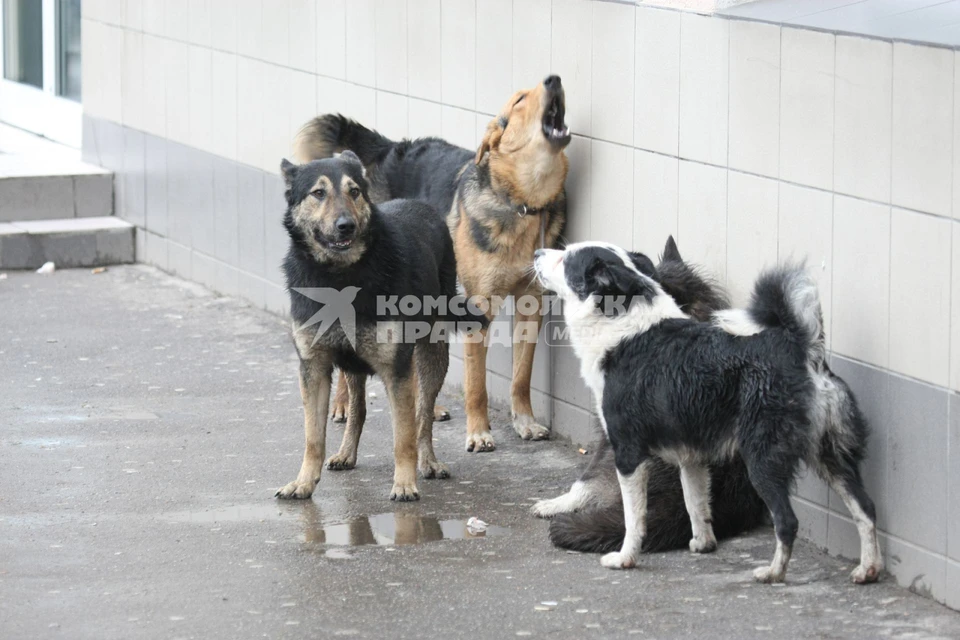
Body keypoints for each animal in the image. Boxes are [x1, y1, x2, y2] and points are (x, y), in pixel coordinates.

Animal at [272, 152, 480, 502]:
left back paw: (428, 461)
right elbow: (313, 437)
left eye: (354, 191)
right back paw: (346, 453)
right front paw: (303, 482)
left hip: (431, 355)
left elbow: (404, 436)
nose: (346, 226)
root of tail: (420, 204)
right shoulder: (314, 369)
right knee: (358, 409)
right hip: (353, 365)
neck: (339, 277)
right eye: (318, 193)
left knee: (423, 414)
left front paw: (405, 483)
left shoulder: (396, 370)